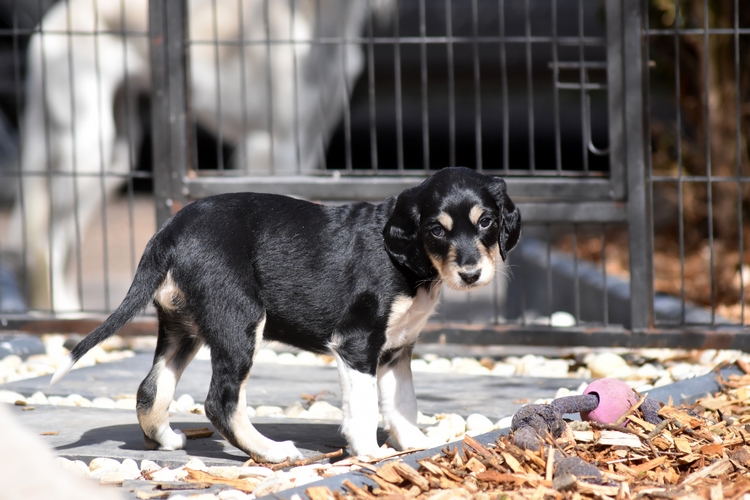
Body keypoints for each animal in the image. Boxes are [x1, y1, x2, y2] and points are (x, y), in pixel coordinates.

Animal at [7, 0, 394, 310]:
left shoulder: (309, 141)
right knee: (45, 242)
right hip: (89, 145)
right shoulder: (276, 146)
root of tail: (51, 21)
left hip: (116, 152)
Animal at [53, 166, 524, 462]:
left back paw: (166, 439)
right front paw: (368, 453)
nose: (470, 274)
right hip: (239, 320)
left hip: (184, 327)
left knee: (151, 389)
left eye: (486, 222)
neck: (410, 262)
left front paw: (415, 443)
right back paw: (272, 451)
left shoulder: (397, 348)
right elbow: (365, 408)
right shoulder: (357, 344)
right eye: (436, 230)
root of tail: (169, 232)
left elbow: (402, 403)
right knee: (221, 401)